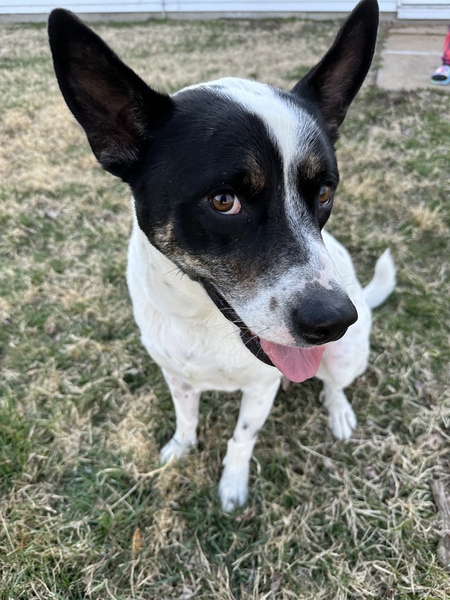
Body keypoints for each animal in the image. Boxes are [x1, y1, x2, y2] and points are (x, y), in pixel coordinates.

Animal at [47, 0, 396, 510]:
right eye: (224, 201)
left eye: (325, 192)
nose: (333, 320)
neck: (203, 320)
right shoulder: (175, 373)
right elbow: (186, 416)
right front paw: (180, 447)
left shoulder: (263, 385)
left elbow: (242, 436)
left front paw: (233, 483)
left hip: (348, 354)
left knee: (334, 382)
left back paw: (339, 411)